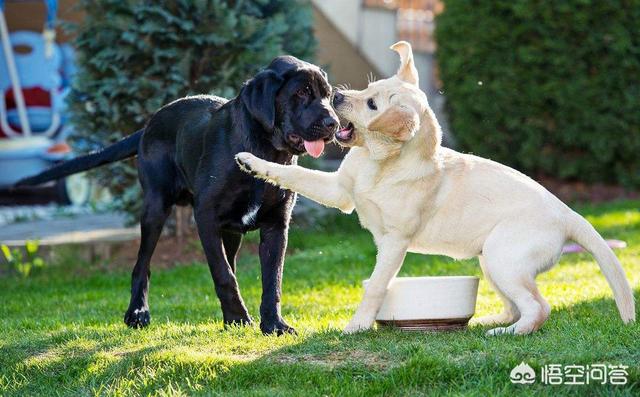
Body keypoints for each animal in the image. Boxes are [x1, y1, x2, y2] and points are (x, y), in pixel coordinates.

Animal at [16, 56, 340, 334]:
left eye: (327, 95)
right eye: (301, 93)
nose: (333, 124)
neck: (264, 150)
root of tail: (149, 124)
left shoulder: (276, 225)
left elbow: (272, 280)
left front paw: (273, 325)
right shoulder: (206, 217)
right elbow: (224, 274)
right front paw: (239, 318)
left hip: (230, 230)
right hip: (155, 209)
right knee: (142, 266)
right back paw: (137, 314)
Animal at [236, 41, 636, 334]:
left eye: (371, 104)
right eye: (369, 88)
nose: (335, 96)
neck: (382, 165)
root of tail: (568, 213)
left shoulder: (395, 242)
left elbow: (377, 285)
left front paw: (358, 325)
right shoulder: (340, 190)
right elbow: (293, 174)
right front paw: (250, 161)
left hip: (504, 258)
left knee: (540, 307)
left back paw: (509, 333)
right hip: (493, 262)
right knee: (516, 305)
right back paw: (493, 322)